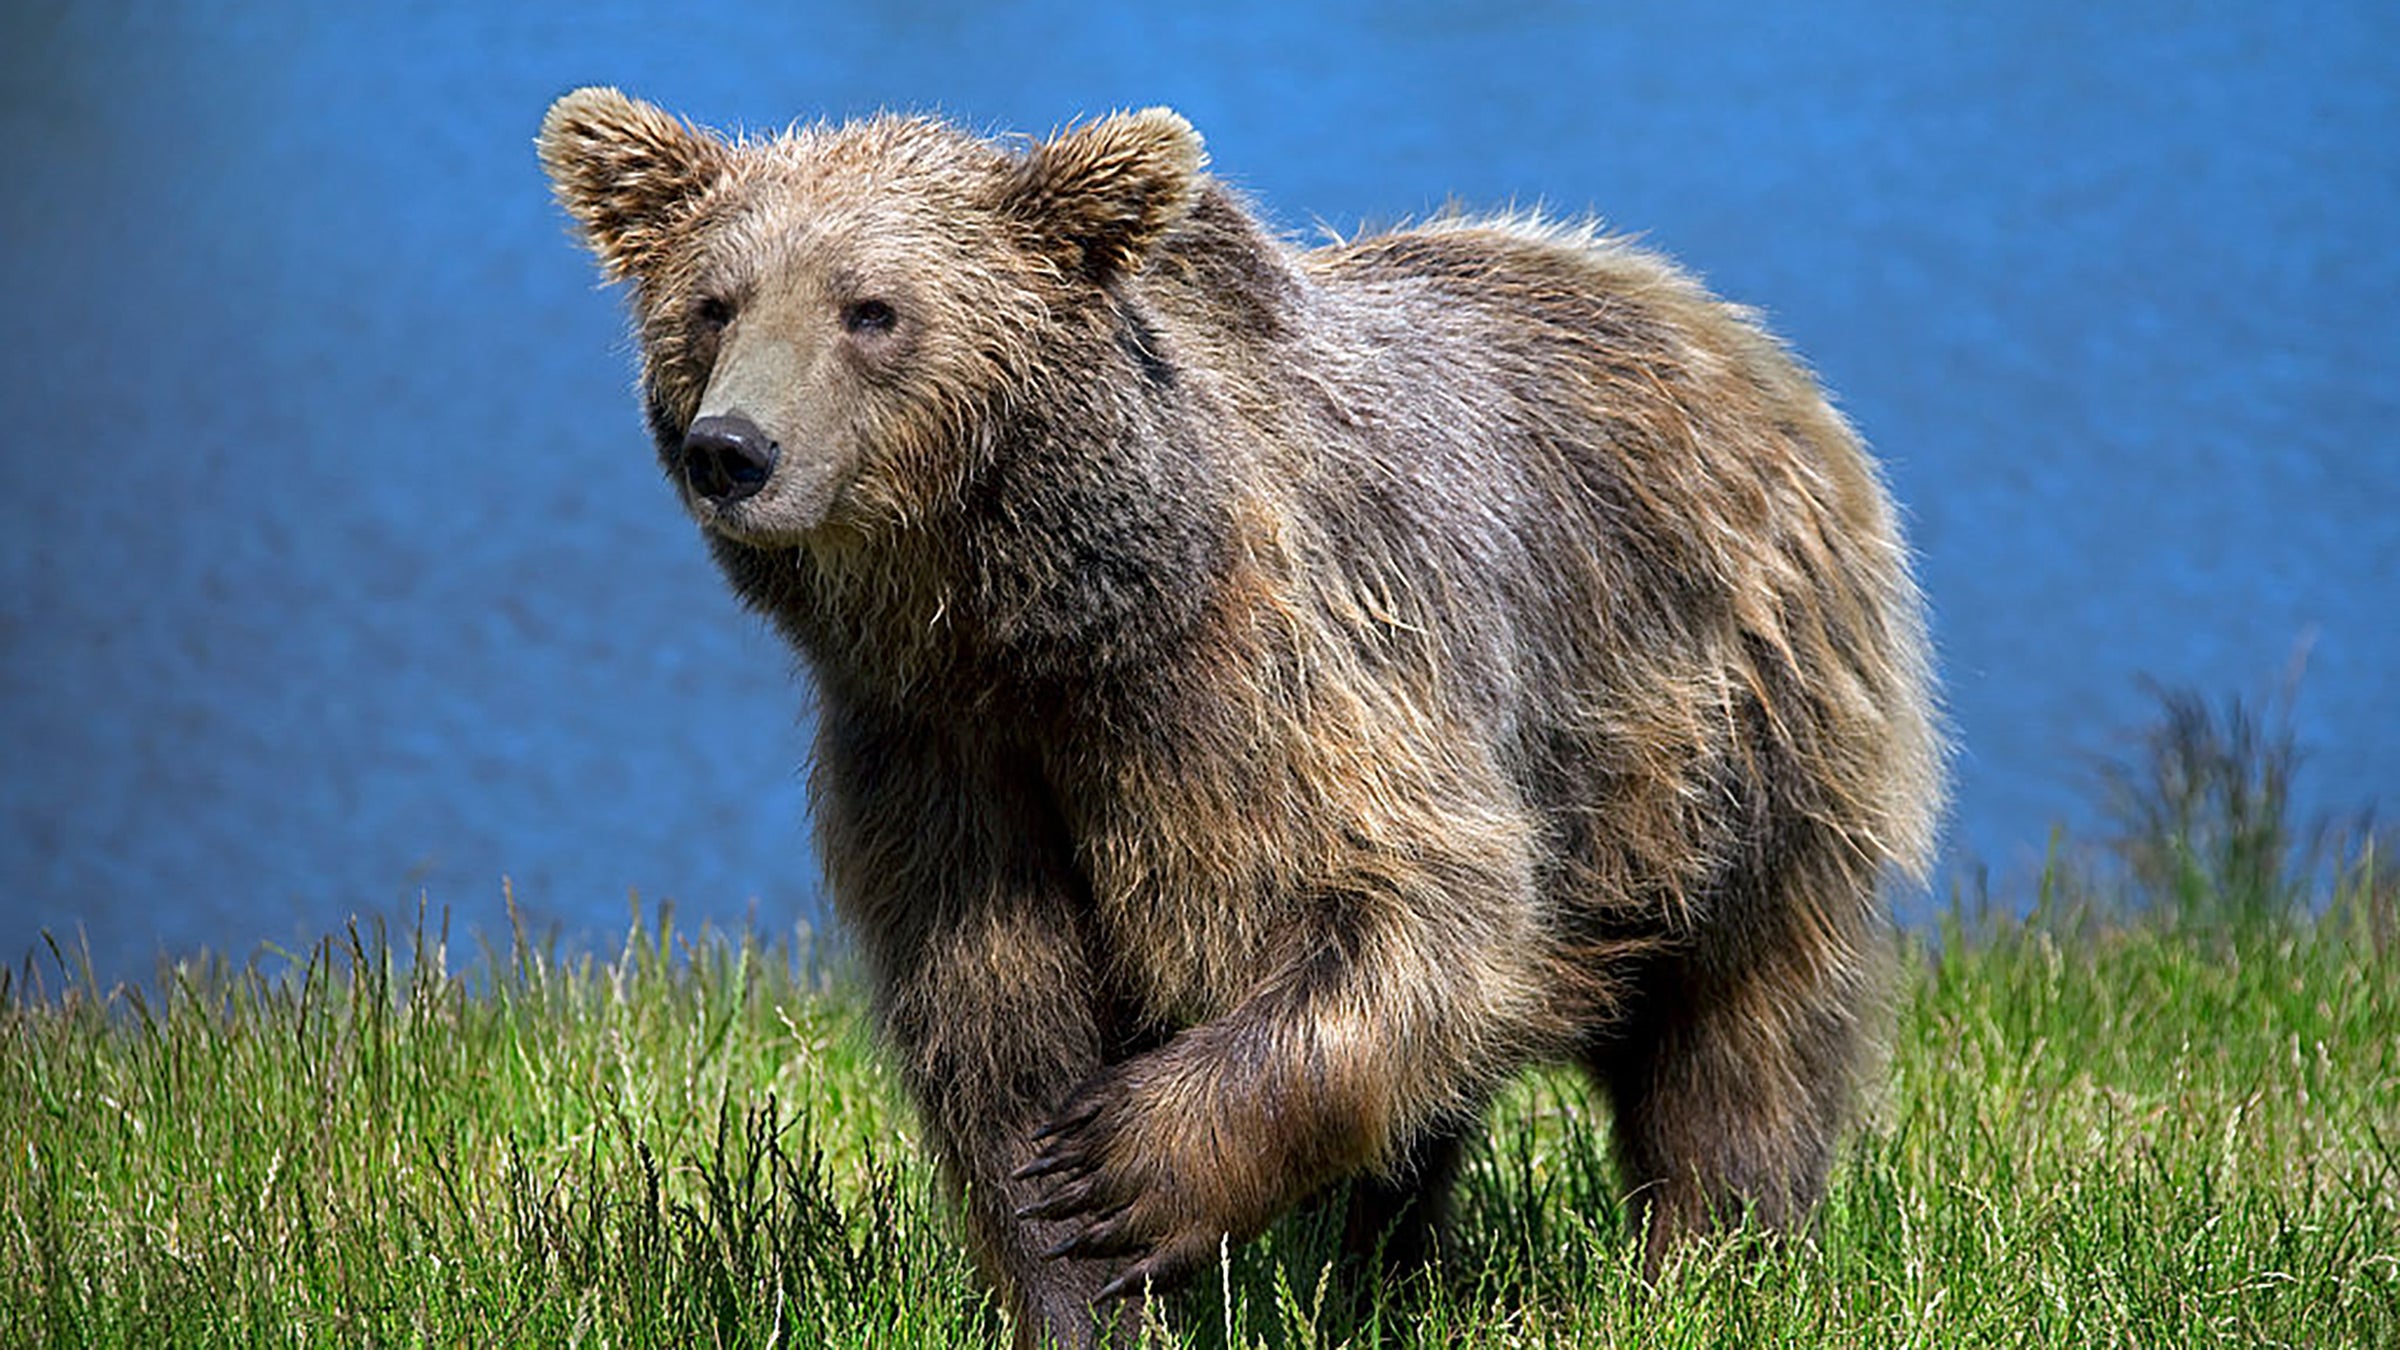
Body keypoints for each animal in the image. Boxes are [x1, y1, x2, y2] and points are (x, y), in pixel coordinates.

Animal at [540, 88, 1943, 1348]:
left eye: (871, 307)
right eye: (713, 304)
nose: (735, 449)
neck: (1034, 624)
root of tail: (1708, 318)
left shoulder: (1267, 685)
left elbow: (1412, 910)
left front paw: (1119, 1168)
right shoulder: (934, 753)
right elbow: (995, 1024)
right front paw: (1074, 1281)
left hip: (1735, 727)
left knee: (1742, 1025)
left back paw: (1710, 1255)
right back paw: (1380, 1272)